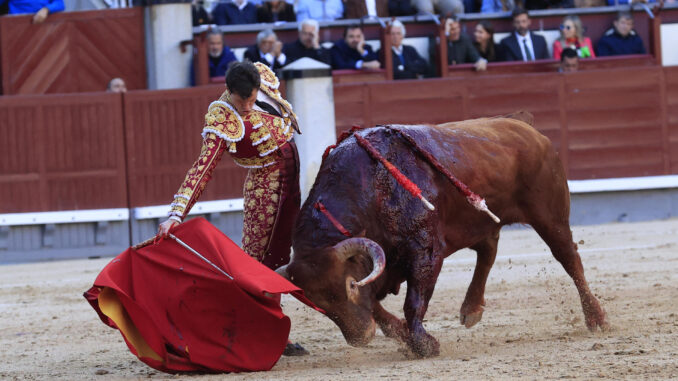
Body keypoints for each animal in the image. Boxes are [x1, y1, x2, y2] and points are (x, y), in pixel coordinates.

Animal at [276, 114, 612, 358]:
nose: (361, 337)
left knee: (569, 258)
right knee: (488, 252)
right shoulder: (382, 269)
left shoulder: (425, 251)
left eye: (348, 285)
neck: (370, 190)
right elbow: (376, 307)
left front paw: (424, 345)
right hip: (480, 220)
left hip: (550, 217)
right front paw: (404, 335)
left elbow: (413, 301)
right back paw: (471, 309)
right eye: (316, 303)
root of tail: (529, 130)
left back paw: (596, 318)